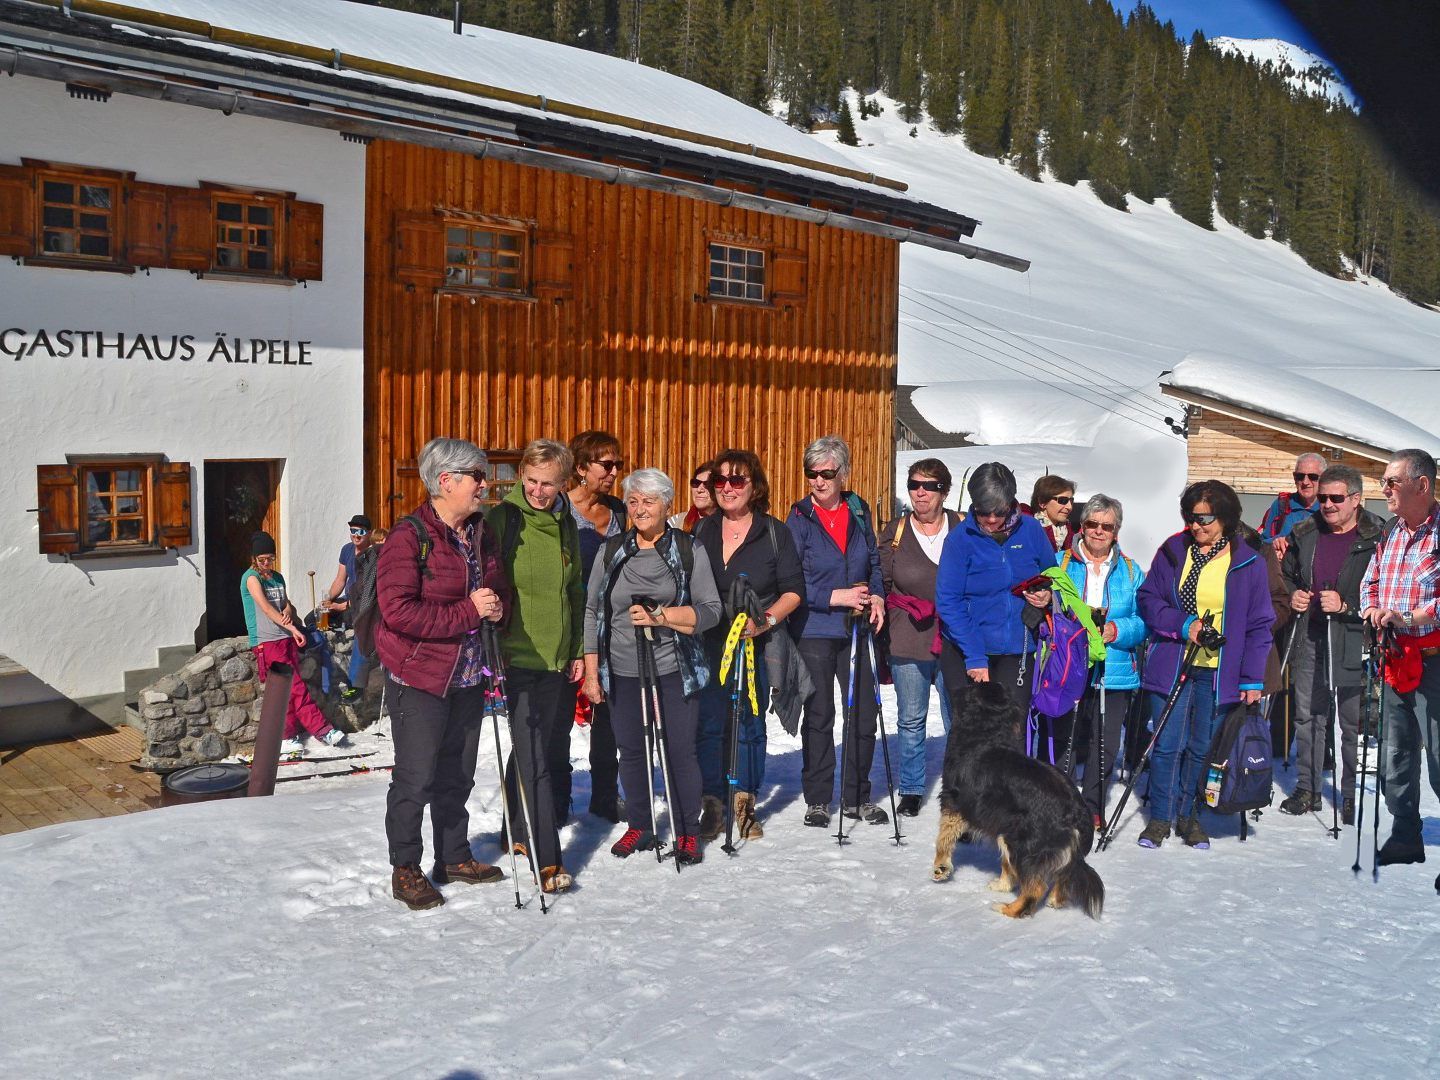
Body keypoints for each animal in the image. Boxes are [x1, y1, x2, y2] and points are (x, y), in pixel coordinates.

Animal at [933, 685, 1100, 921]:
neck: (987, 733)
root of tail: (1077, 811)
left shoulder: (953, 800)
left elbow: (944, 837)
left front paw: (940, 868)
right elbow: (1005, 864)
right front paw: (1002, 885)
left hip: (1022, 841)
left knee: (1035, 887)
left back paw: (1008, 909)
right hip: (1015, 835)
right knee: (1060, 875)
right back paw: (1052, 900)